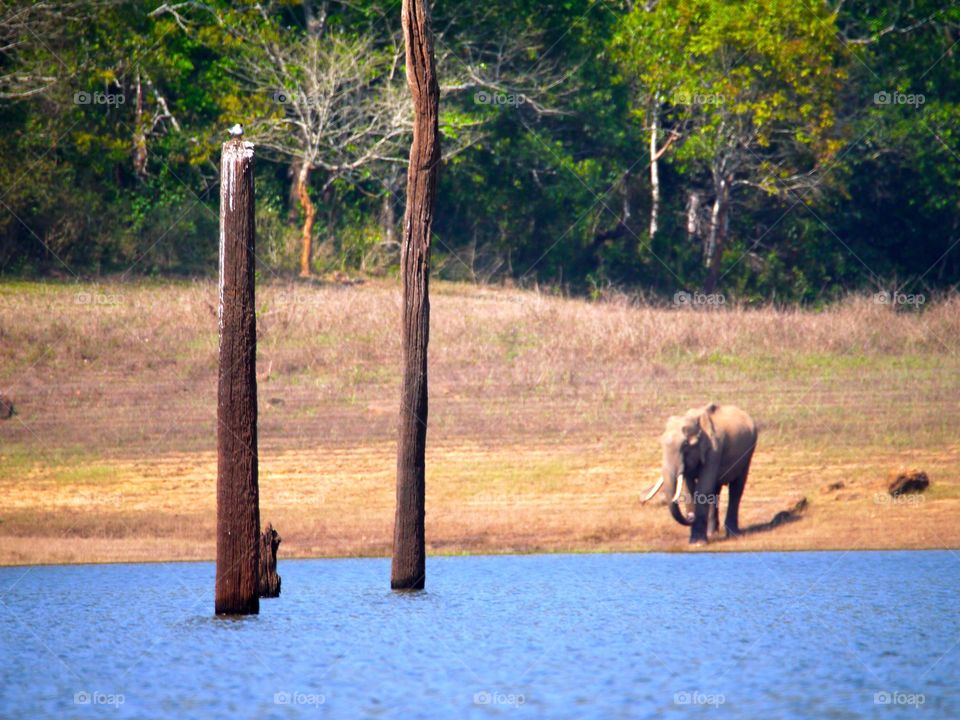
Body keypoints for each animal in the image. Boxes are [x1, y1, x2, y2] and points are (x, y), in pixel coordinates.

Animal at [644, 402, 756, 544]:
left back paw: (733, 535)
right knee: (715, 490)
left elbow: (703, 488)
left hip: (748, 452)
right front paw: (695, 541)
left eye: (685, 445)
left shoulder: (714, 450)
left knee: (736, 489)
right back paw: (712, 533)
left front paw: (698, 542)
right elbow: (689, 489)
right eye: (661, 443)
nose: (690, 516)